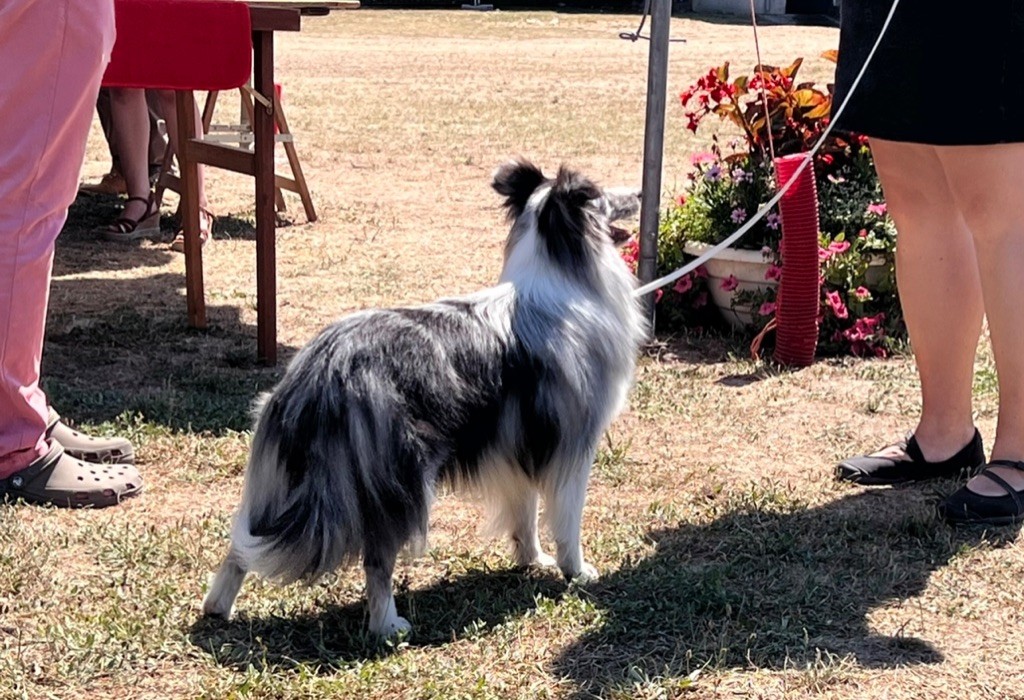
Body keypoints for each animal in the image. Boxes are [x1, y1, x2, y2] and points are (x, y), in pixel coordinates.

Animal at [202, 159, 643, 638]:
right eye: (601, 195)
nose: (640, 192)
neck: (560, 277)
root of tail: (322, 372)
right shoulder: (573, 446)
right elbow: (567, 521)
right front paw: (576, 571)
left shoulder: (516, 446)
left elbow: (524, 514)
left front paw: (532, 559)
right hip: (399, 480)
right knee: (377, 560)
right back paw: (388, 625)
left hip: (277, 475)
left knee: (240, 544)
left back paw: (217, 607)